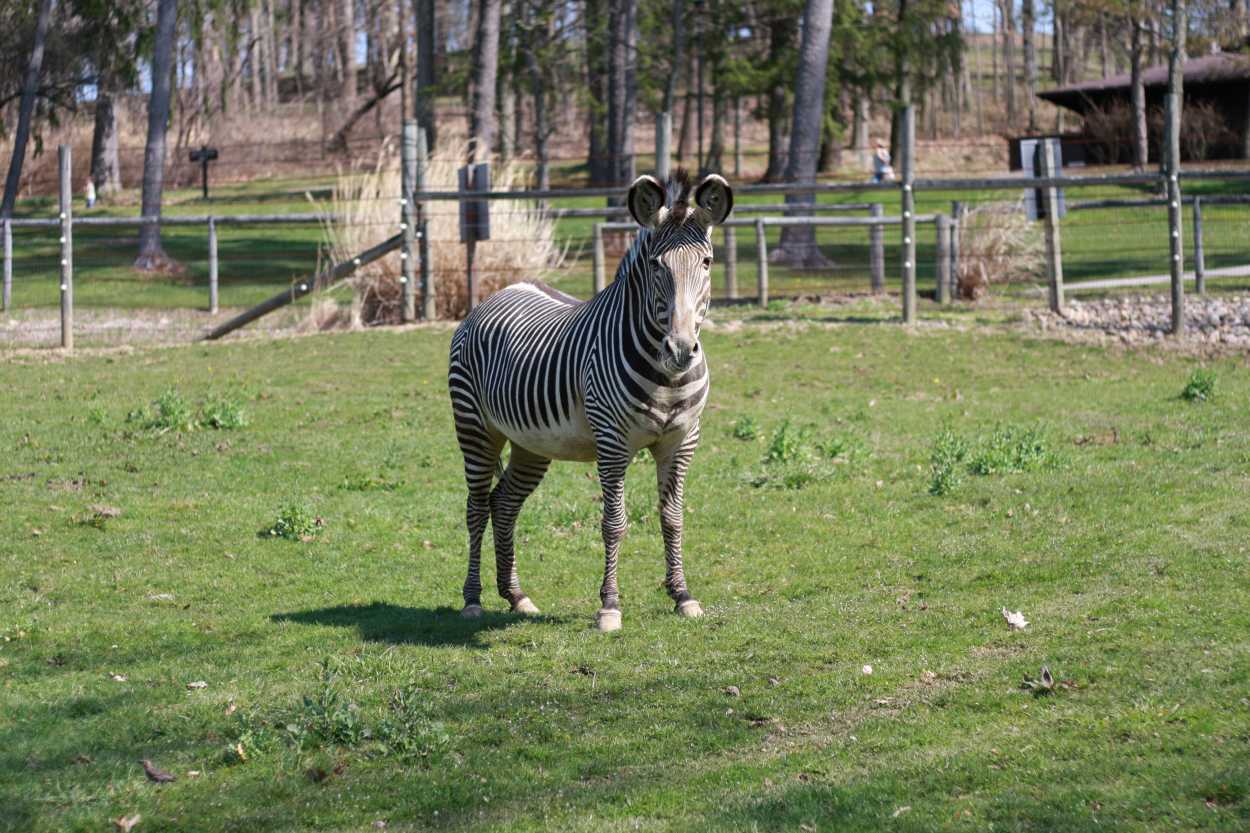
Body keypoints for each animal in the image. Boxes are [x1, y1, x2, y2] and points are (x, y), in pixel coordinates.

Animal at [450, 168, 730, 630]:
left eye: (706, 262)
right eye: (656, 265)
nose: (680, 349)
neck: (666, 377)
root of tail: (502, 288)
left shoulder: (682, 441)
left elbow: (672, 518)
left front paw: (682, 595)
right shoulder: (613, 443)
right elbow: (614, 523)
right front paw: (610, 605)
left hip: (531, 444)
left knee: (503, 504)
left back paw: (516, 596)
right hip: (475, 427)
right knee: (475, 506)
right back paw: (473, 598)